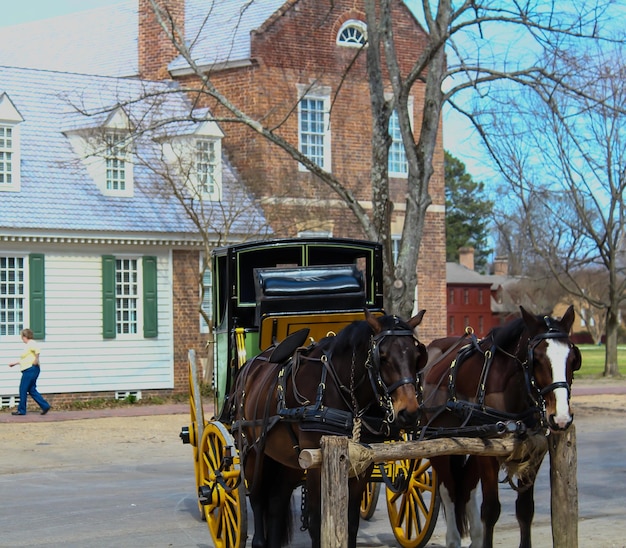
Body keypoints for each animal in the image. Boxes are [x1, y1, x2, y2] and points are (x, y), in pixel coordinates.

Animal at [227, 310, 426, 544]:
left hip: (287, 460)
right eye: (383, 357)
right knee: (258, 498)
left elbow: (350, 522)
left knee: (276, 501)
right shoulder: (315, 463)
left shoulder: (362, 464)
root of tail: (248, 368)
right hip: (253, 452)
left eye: (417, 356)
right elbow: (317, 523)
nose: (409, 412)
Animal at [422, 306, 576, 544]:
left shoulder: (535, 452)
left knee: (466, 488)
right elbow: (491, 510)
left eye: (573, 358)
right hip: (439, 443)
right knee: (449, 492)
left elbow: (525, 510)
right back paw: (453, 539)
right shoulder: (488, 455)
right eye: (538, 358)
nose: (560, 417)